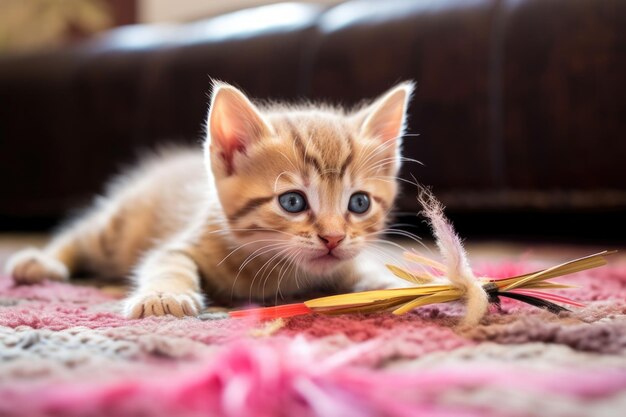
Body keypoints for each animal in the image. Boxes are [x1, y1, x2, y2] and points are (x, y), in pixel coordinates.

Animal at [7, 79, 414, 316]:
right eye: (293, 202)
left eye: (359, 203)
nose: (332, 238)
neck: (280, 272)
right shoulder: (182, 242)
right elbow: (167, 263)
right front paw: (163, 296)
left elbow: (359, 266)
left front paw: (393, 284)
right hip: (117, 223)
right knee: (77, 235)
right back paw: (39, 262)